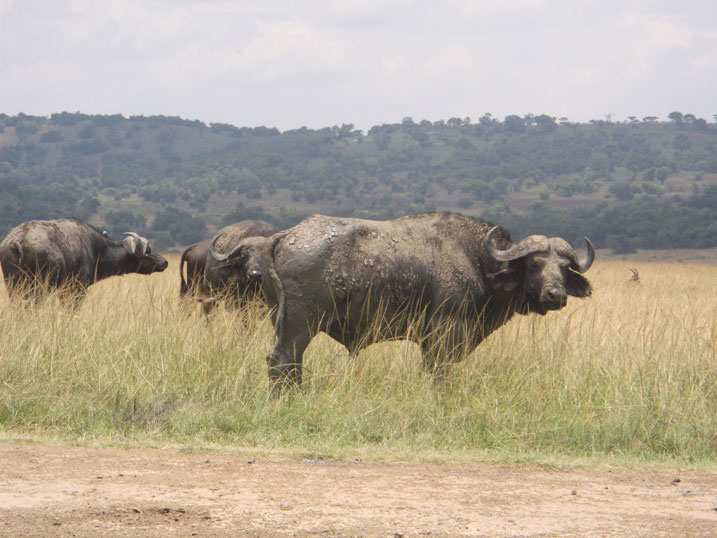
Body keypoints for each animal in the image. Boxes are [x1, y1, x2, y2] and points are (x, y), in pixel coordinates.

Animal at [0, 217, 169, 302]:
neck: (97, 249)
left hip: (14, 285)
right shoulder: (76, 290)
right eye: (148, 251)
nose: (165, 262)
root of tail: (18, 240)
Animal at [262, 211, 592, 388]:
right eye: (535, 264)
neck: (477, 260)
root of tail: (287, 234)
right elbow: (438, 374)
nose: (556, 295)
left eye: (565, 268)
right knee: (283, 360)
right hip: (300, 325)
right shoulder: (443, 335)